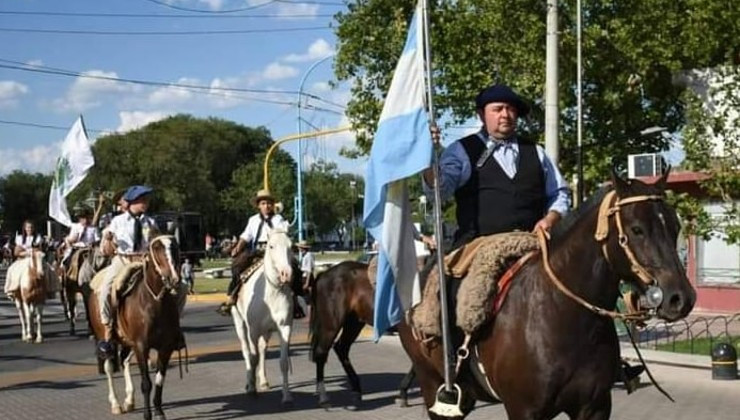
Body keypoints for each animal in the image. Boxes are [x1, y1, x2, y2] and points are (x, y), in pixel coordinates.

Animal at [87, 236, 184, 420]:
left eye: (175, 247)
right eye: (157, 248)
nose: (174, 279)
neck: (154, 303)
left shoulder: (165, 347)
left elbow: (160, 379)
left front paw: (159, 412)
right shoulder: (141, 346)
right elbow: (146, 383)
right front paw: (147, 415)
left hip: (127, 342)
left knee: (124, 360)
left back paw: (129, 400)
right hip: (105, 337)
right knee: (109, 367)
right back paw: (116, 404)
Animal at [233, 230, 300, 406]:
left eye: (291, 246)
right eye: (271, 246)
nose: (286, 274)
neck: (272, 292)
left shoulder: (285, 328)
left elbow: (283, 362)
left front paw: (287, 396)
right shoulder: (253, 330)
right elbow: (253, 358)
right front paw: (251, 389)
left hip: (267, 331)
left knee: (263, 349)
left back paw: (263, 381)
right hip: (239, 322)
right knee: (246, 351)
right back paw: (250, 383)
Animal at [398, 171, 692, 420]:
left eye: (675, 227)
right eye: (637, 229)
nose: (680, 298)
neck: (563, 316)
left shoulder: (595, 408)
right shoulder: (525, 411)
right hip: (432, 383)